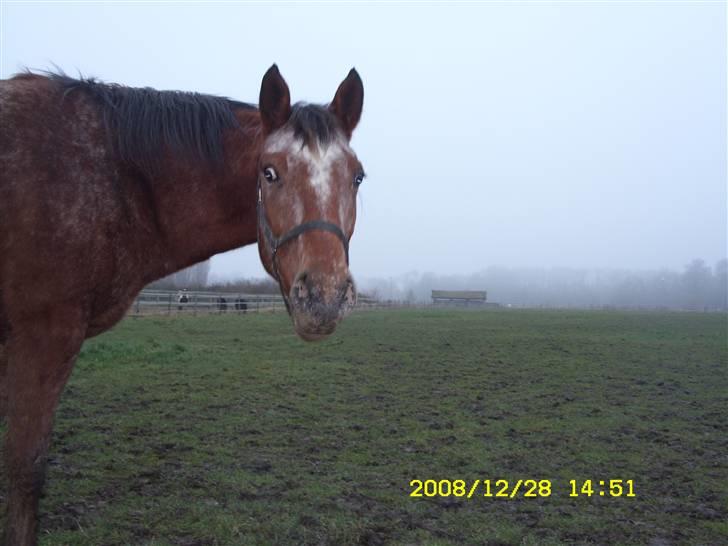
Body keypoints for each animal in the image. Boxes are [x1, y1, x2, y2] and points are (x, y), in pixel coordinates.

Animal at [0, 65, 364, 544]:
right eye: (269, 173)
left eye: (357, 177)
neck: (111, 177)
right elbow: (25, 471)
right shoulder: (43, 337)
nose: (323, 298)